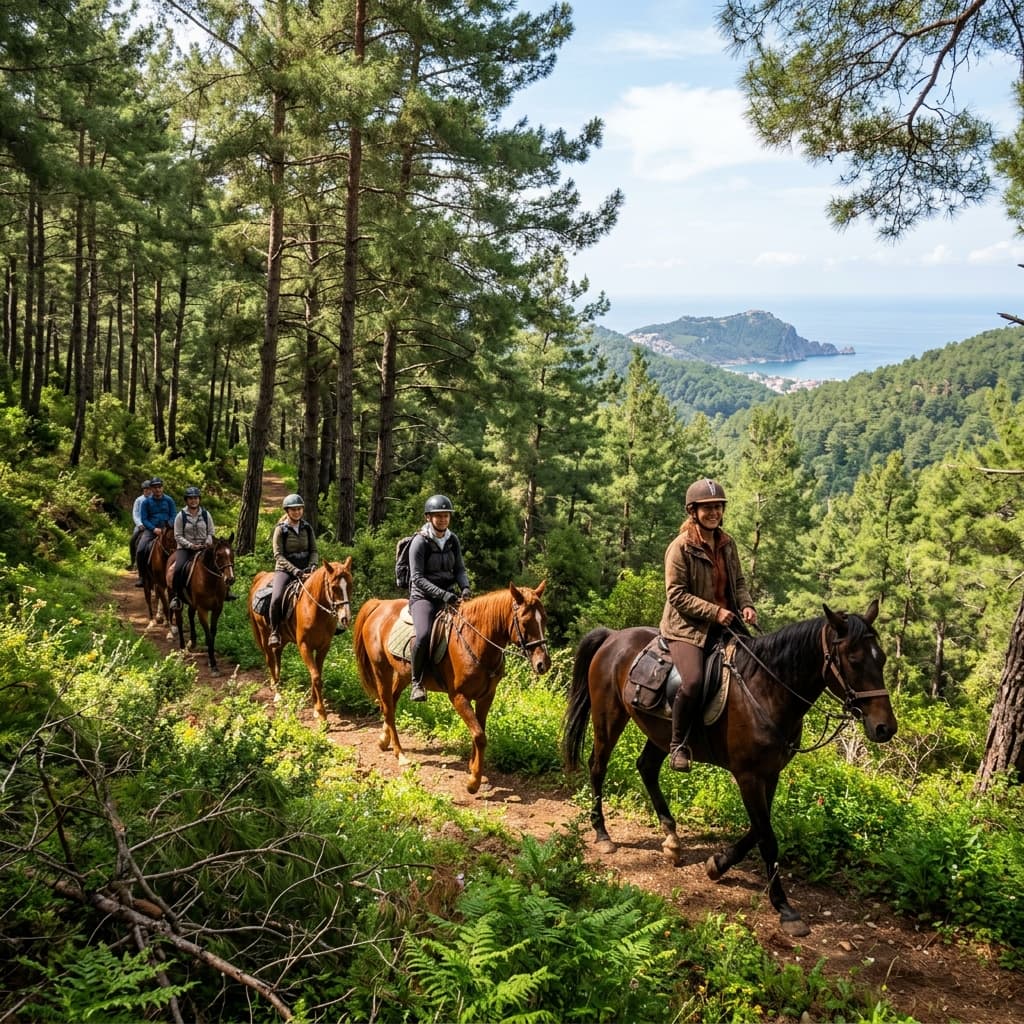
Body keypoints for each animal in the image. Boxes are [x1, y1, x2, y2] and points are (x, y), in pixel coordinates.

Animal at [167, 534, 236, 675]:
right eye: (218, 555)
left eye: (232, 553)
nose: (230, 579)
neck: (210, 580)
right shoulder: (202, 609)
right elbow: (208, 635)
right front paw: (213, 665)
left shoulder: (217, 609)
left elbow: (213, 633)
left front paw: (211, 660)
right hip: (175, 598)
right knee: (180, 621)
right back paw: (182, 648)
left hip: (192, 603)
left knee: (190, 615)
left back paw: (192, 642)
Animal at [248, 558, 354, 723]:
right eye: (334, 587)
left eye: (350, 585)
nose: (346, 618)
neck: (314, 610)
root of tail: (261, 576)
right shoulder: (305, 647)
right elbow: (316, 677)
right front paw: (321, 713)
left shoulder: (324, 647)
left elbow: (317, 674)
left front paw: (315, 705)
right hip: (264, 634)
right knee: (270, 660)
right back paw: (277, 693)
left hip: (283, 638)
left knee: (277, 655)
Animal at [352, 582, 550, 794]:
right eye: (525, 621)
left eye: (544, 619)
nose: (543, 664)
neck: (475, 641)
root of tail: (379, 604)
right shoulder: (458, 697)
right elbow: (479, 735)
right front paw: (473, 782)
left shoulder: (486, 696)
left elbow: (479, 731)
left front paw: (474, 768)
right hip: (381, 670)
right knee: (387, 706)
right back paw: (401, 755)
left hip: (404, 674)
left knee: (391, 702)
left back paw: (384, 739)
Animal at [562, 601, 897, 936]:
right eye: (853, 659)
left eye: (881, 658)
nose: (885, 728)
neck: (767, 690)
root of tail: (613, 637)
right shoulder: (748, 776)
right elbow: (767, 837)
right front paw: (784, 908)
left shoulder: (770, 773)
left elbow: (758, 830)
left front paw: (718, 863)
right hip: (609, 717)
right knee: (598, 766)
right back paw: (603, 834)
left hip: (660, 732)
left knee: (646, 768)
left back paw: (671, 838)